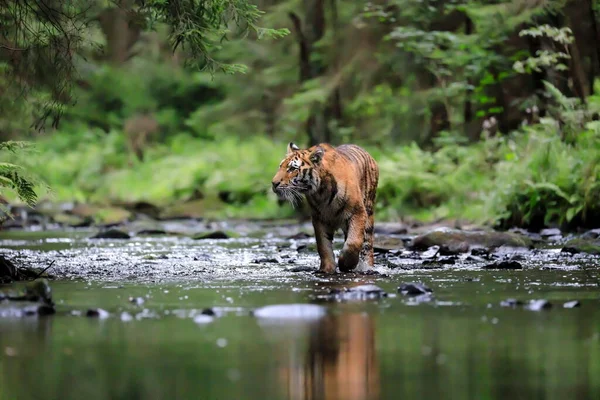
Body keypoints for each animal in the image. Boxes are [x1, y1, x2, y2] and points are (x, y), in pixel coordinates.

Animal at [274, 142, 380, 274]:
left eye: (292, 169)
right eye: (280, 167)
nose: (273, 183)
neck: (321, 191)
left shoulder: (358, 212)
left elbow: (353, 242)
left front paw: (346, 264)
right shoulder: (319, 219)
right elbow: (323, 246)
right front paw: (327, 269)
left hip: (368, 212)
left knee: (367, 245)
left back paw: (367, 267)